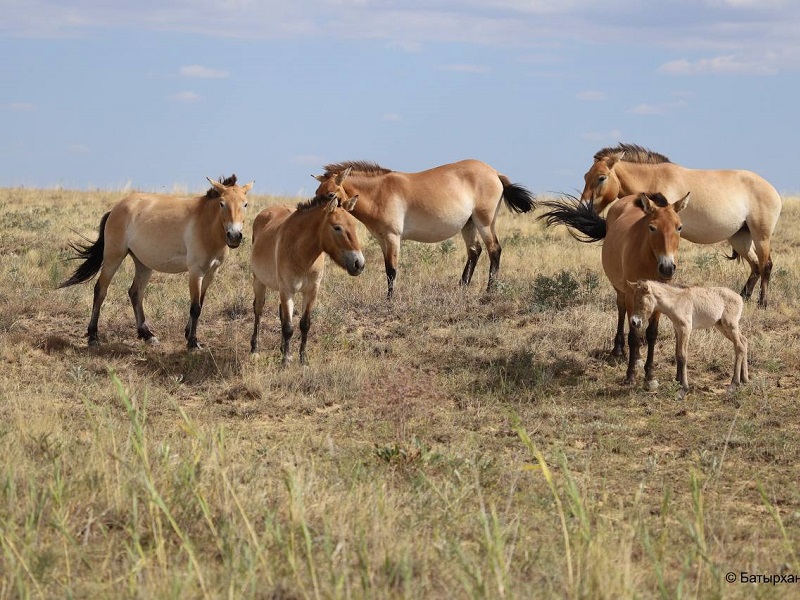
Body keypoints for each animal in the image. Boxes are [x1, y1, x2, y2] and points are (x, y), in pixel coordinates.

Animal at [59, 174, 253, 349]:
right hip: (113, 257)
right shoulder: (195, 271)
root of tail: (115, 209)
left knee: (135, 293)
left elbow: (200, 303)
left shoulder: (212, 272)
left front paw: (188, 334)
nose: (234, 236)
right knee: (100, 290)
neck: (206, 224)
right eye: (222, 203)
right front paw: (192, 342)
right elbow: (195, 307)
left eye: (245, 204)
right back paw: (93, 336)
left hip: (143, 264)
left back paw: (147, 335)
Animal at [250, 194, 365, 366]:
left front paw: (302, 360)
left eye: (354, 225)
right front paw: (285, 361)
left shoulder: (311, 291)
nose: (359, 264)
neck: (301, 253)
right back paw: (255, 349)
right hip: (259, 281)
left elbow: (304, 324)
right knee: (258, 310)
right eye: (337, 227)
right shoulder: (287, 290)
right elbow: (288, 327)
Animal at [313, 159, 536, 298]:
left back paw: (490, 290)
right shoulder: (382, 239)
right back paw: (461, 287)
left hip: (485, 223)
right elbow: (387, 269)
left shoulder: (393, 237)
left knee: (494, 250)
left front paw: (389, 300)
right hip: (469, 225)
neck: (378, 193)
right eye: (317, 193)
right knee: (475, 251)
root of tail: (495, 173)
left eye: (331, 194)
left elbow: (391, 270)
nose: (318, 218)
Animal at [539, 192, 690, 388]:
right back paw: (618, 351)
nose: (667, 268)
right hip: (621, 292)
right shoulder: (631, 294)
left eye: (679, 227)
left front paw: (650, 376)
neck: (648, 259)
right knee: (622, 311)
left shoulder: (659, 298)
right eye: (652, 227)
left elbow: (651, 334)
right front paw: (630, 375)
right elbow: (634, 335)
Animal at [580, 143, 782, 308]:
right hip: (740, 237)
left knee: (766, 265)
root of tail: (772, 190)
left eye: (601, 177)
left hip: (761, 236)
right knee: (755, 266)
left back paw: (762, 303)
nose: (584, 207)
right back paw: (743, 297)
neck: (654, 178)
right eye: (585, 176)